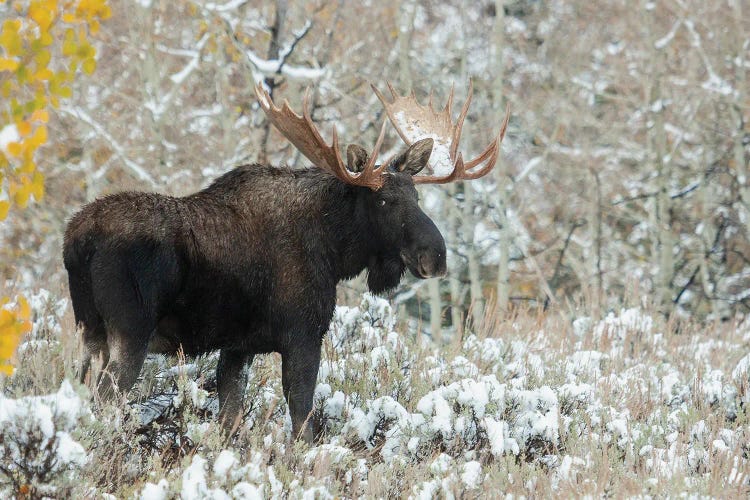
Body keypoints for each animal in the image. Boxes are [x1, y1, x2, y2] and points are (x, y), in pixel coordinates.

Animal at [64, 82, 512, 442]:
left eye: (416, 197)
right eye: (385, 200)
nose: (435, 255)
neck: (335, 251)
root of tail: (76, 240)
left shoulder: (238, 348)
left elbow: (230, 423)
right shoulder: (303, 334)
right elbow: (302, 423)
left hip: (89, 331)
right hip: (130, 331)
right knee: (104, 402)